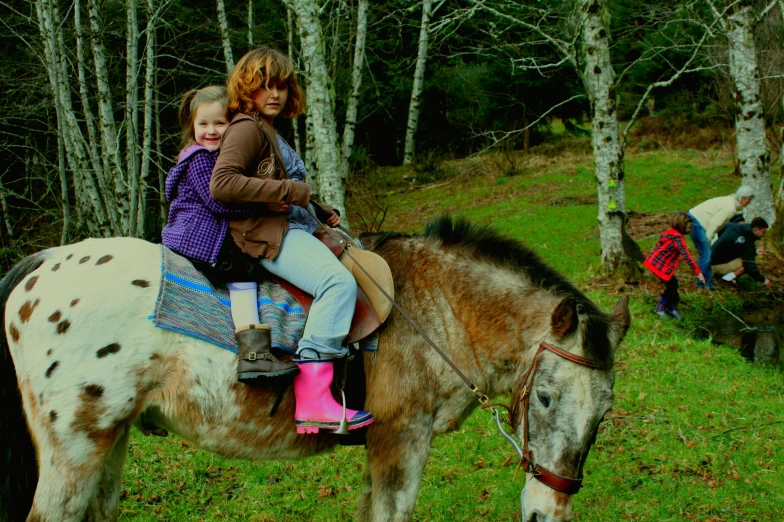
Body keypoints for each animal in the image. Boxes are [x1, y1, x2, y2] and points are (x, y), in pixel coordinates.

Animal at [0, 215, 632, 520]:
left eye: (604, 413)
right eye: (545, 398)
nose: (549, 512)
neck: (436, 304)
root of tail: (40, 267)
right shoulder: (401, 438)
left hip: (109, 440)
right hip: (73, 452)